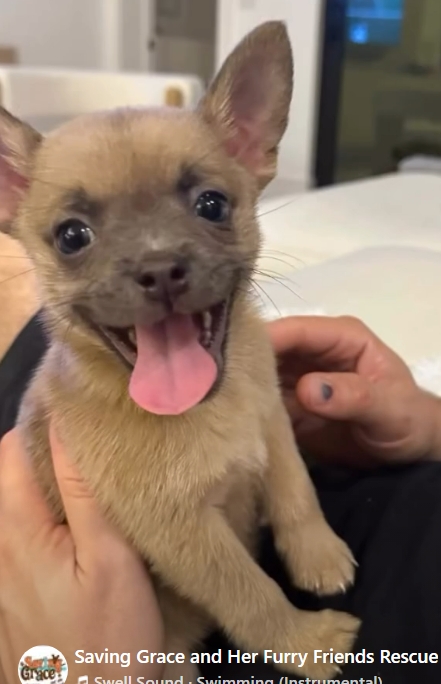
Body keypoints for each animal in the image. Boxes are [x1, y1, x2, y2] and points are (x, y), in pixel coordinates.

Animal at [0, 22, 359, 679]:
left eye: (211, 205)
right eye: (72, 237)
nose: (159, 267)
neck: (212, 408)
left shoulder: (273, 421)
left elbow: (296, 487)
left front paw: (317, 553)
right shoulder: (185, 534)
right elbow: (250, 592)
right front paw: (308, 642)